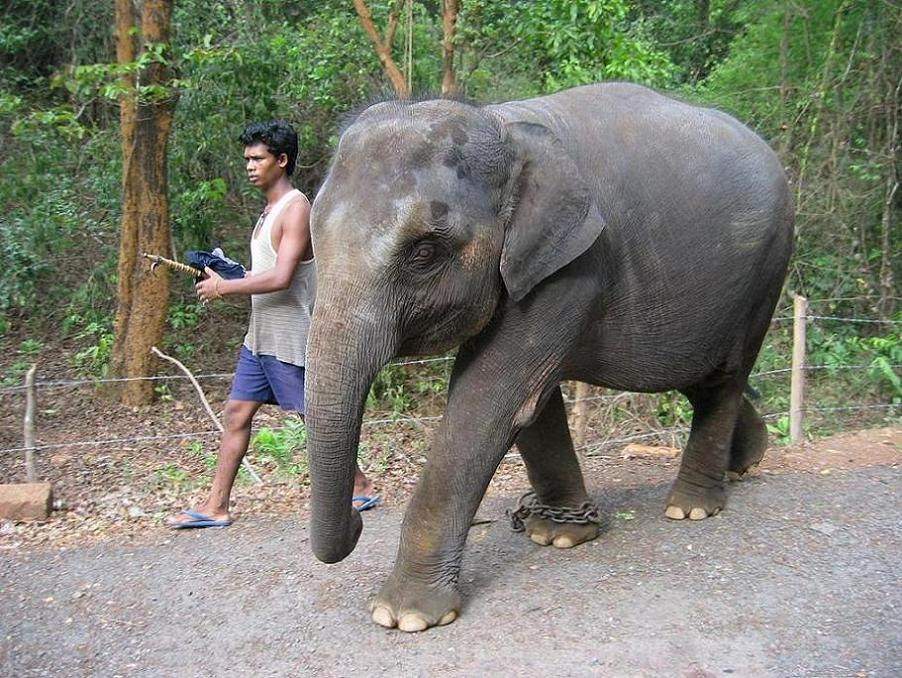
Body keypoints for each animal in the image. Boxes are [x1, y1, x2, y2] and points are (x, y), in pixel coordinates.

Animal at [305, 82, 793, 632]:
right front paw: (557, 535)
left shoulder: (575, 264)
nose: (357, 518)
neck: (502, 125)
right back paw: (745, 461)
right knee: (699, 375)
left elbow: (491, 400)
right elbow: (531, 405)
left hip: (768, 269)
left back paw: (691, 509)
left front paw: (405, 615)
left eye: (424, 253)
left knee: (723, 378)